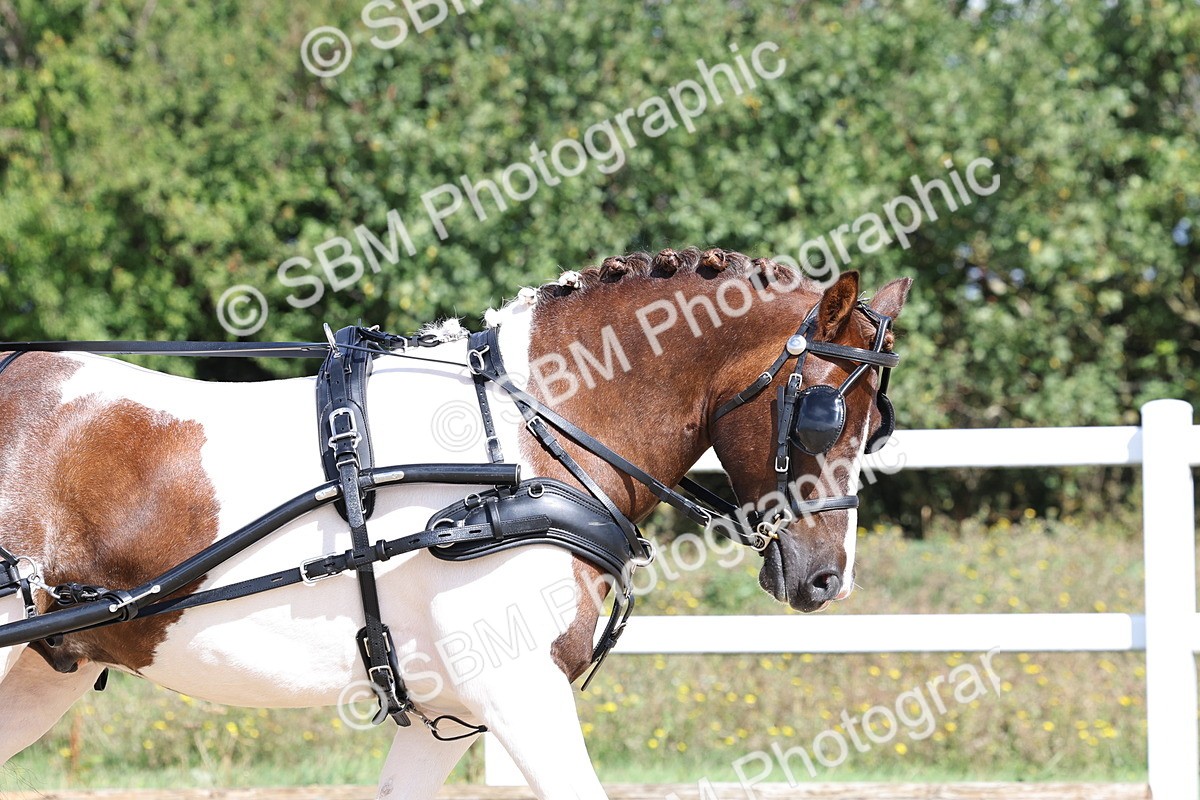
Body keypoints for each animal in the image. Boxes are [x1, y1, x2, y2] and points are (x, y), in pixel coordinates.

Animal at [0, 246, 910, 799]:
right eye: (824, 415)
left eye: (878, 423)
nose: (826, 578)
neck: (527, 439)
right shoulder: (519, 689)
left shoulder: (453, 710)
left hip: (44, 672)